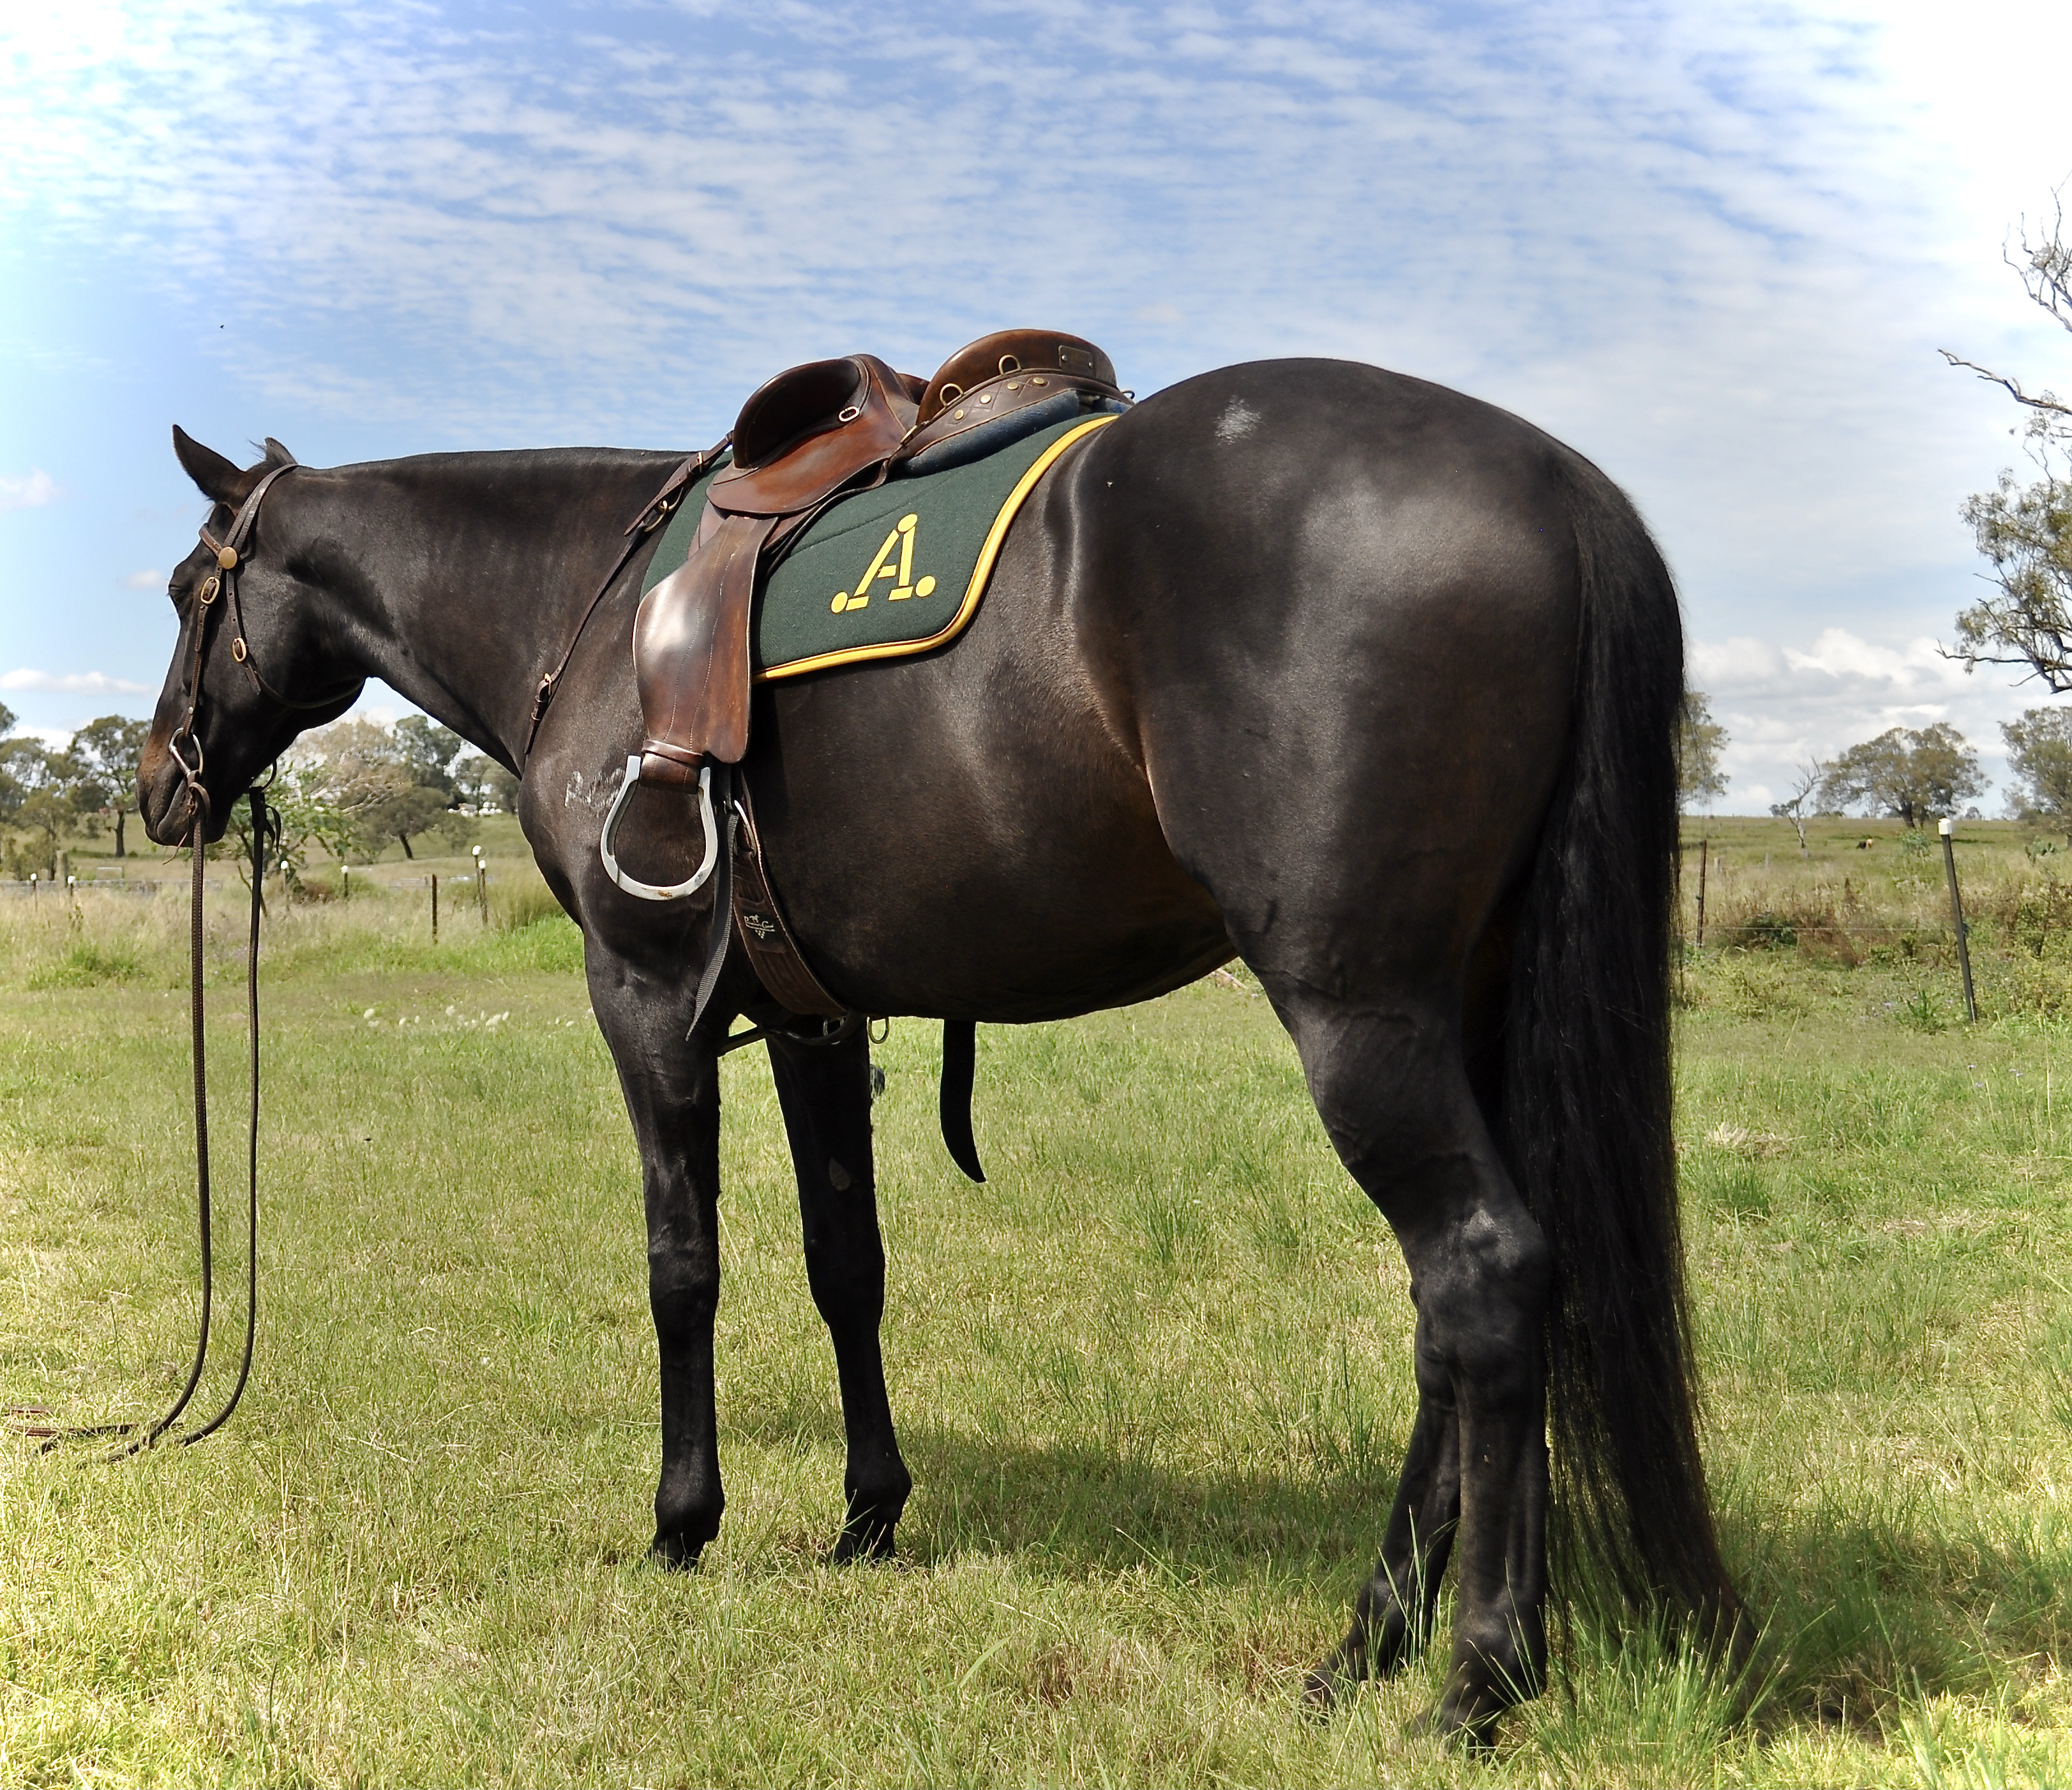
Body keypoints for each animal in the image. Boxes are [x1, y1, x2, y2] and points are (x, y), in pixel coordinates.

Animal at [138, 357, 1738, 1738]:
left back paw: (1476, 1677)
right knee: (1453, 1320)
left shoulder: (642, 996)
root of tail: (1556, 481)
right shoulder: (812, 1014)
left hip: (1364, 1015)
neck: (587, 610)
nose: (159, 786)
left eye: (183, 588)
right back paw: (1368, 1645)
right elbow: (847, 1260)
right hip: (1463, 1013)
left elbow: (682, 1267)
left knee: (1484, 1274)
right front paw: (868, 1512)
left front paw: (682, 1523)